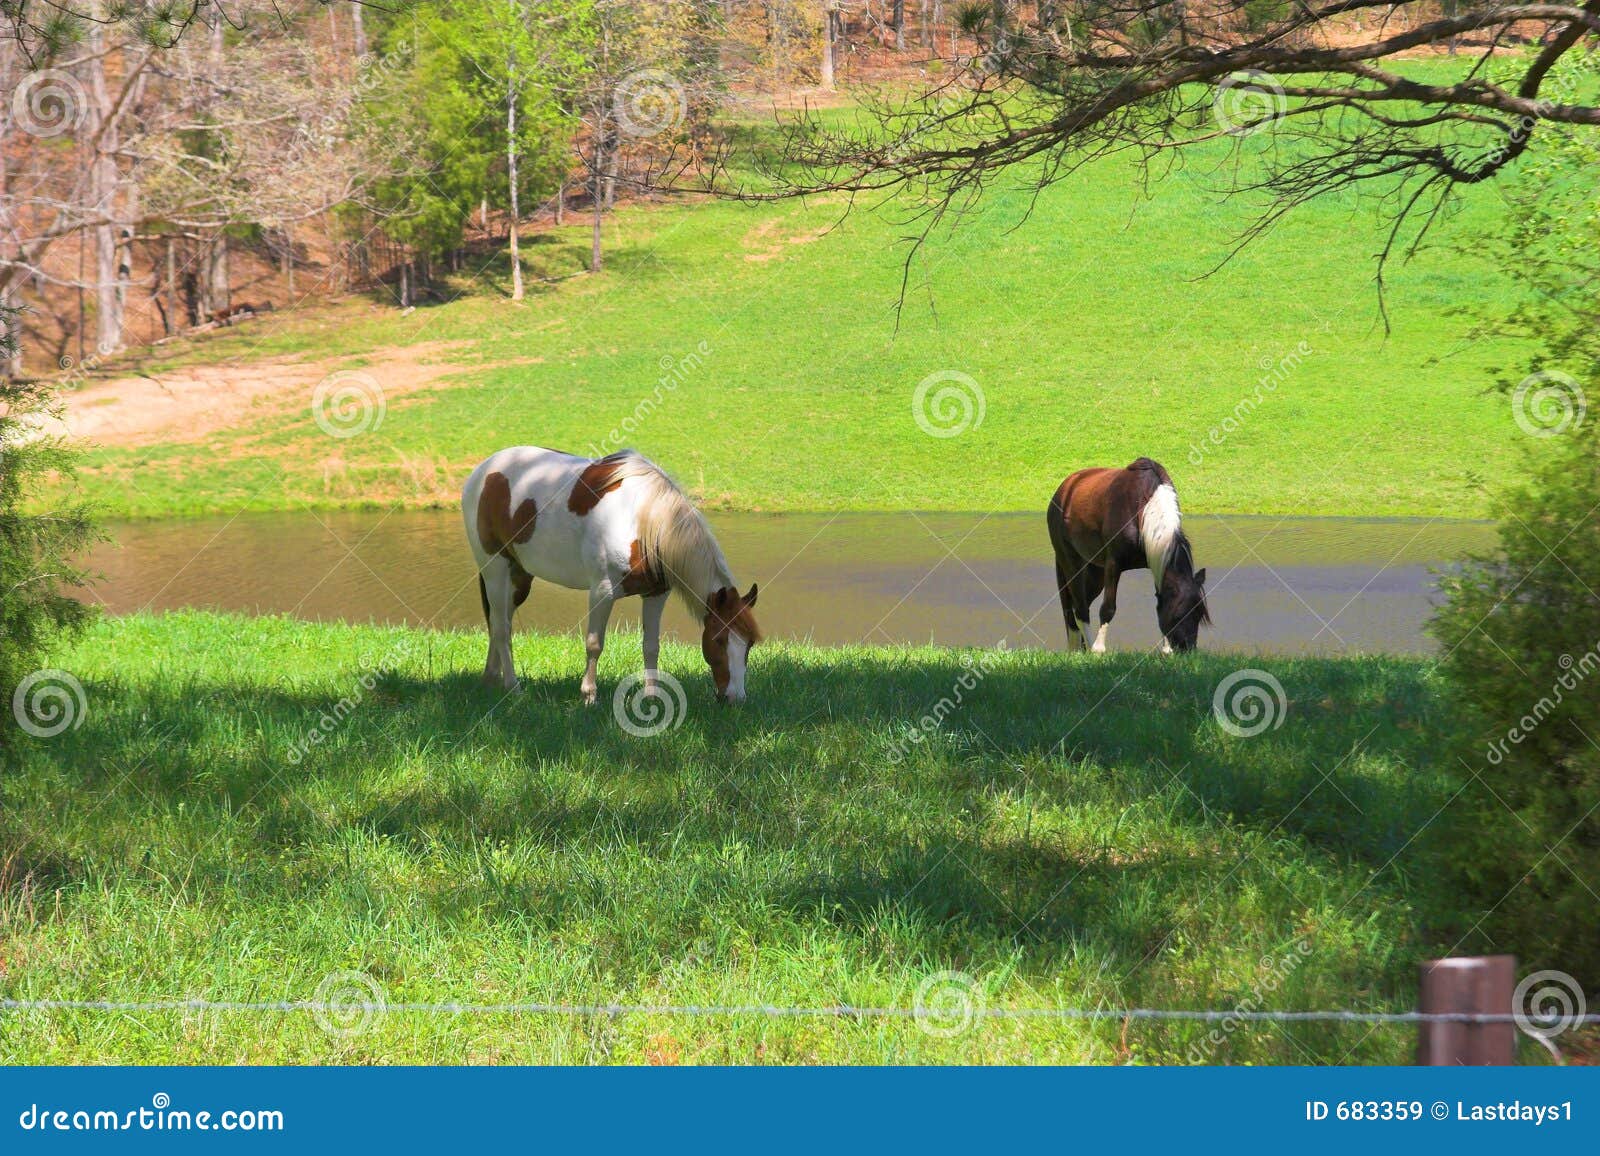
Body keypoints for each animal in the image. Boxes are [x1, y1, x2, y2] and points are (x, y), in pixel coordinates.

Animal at [462, 447, 761, 703]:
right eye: (719, 640)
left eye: (749, 644)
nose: (736, 697)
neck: (644, 522)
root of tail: (483, 470)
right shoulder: (602, 592)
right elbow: (594, 644)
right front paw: (589, 696)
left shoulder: (656, 594)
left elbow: (651, 646)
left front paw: (651, 696)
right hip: (494, 568)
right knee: (501, 628)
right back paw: (513, 687)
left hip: (519, 576)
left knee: (501, 621)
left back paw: (492, 678)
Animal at [1046, 457, 1209, 653]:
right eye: (1178, 615)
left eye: (1199, 614)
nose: (1188, 650)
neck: (1142, 510)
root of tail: (1063, 489)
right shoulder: (1113, 564)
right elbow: (1108, 608)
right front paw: (1099, 650)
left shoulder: (1156, 562)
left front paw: (1166, 650)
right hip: (1071, 562)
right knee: (1080, 608)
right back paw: (1087, 648)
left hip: (1094, 569)